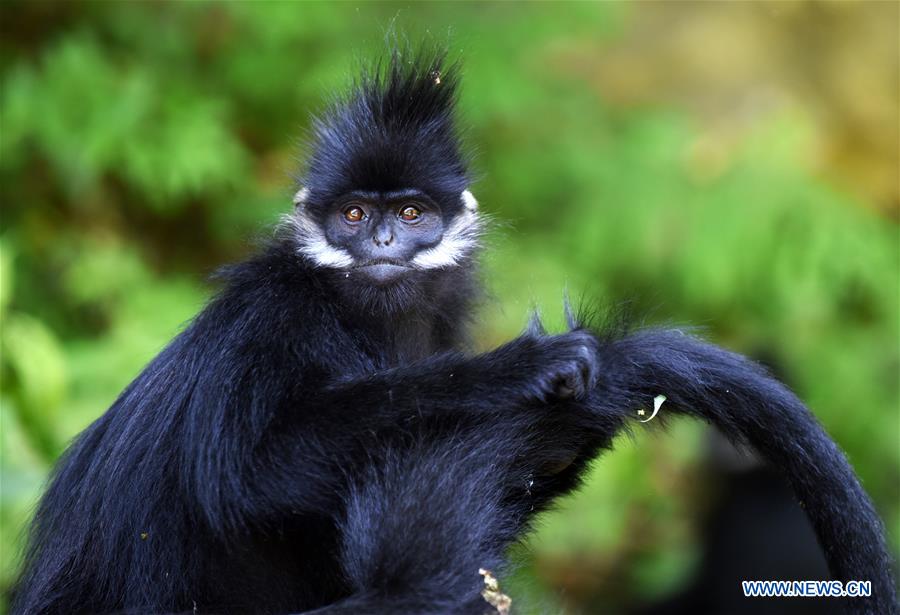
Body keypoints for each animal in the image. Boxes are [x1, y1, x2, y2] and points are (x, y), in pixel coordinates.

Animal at [10, 51, 896, 615]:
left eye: (410, 213)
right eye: (354, 215)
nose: (381, 242)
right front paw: (521, 367)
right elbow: (245, 472)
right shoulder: (272, 315)